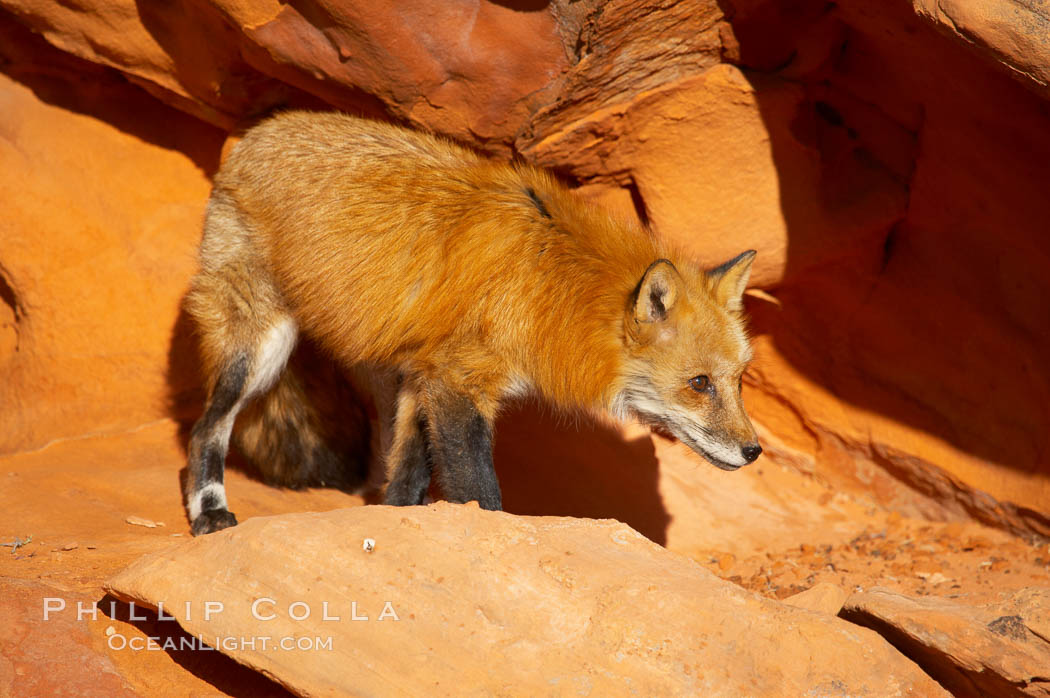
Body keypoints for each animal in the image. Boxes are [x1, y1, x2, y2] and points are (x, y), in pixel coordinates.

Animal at [184, 110, 760, 533]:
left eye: (737, 381)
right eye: (699, 383)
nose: (754, 451)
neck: (549, 286)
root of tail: (257, 131)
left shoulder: (423, 378)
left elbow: (407, 484)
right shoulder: (459, 381)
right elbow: (479, 492)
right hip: (258, 350)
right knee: (205, 429)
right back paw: (209, 512)